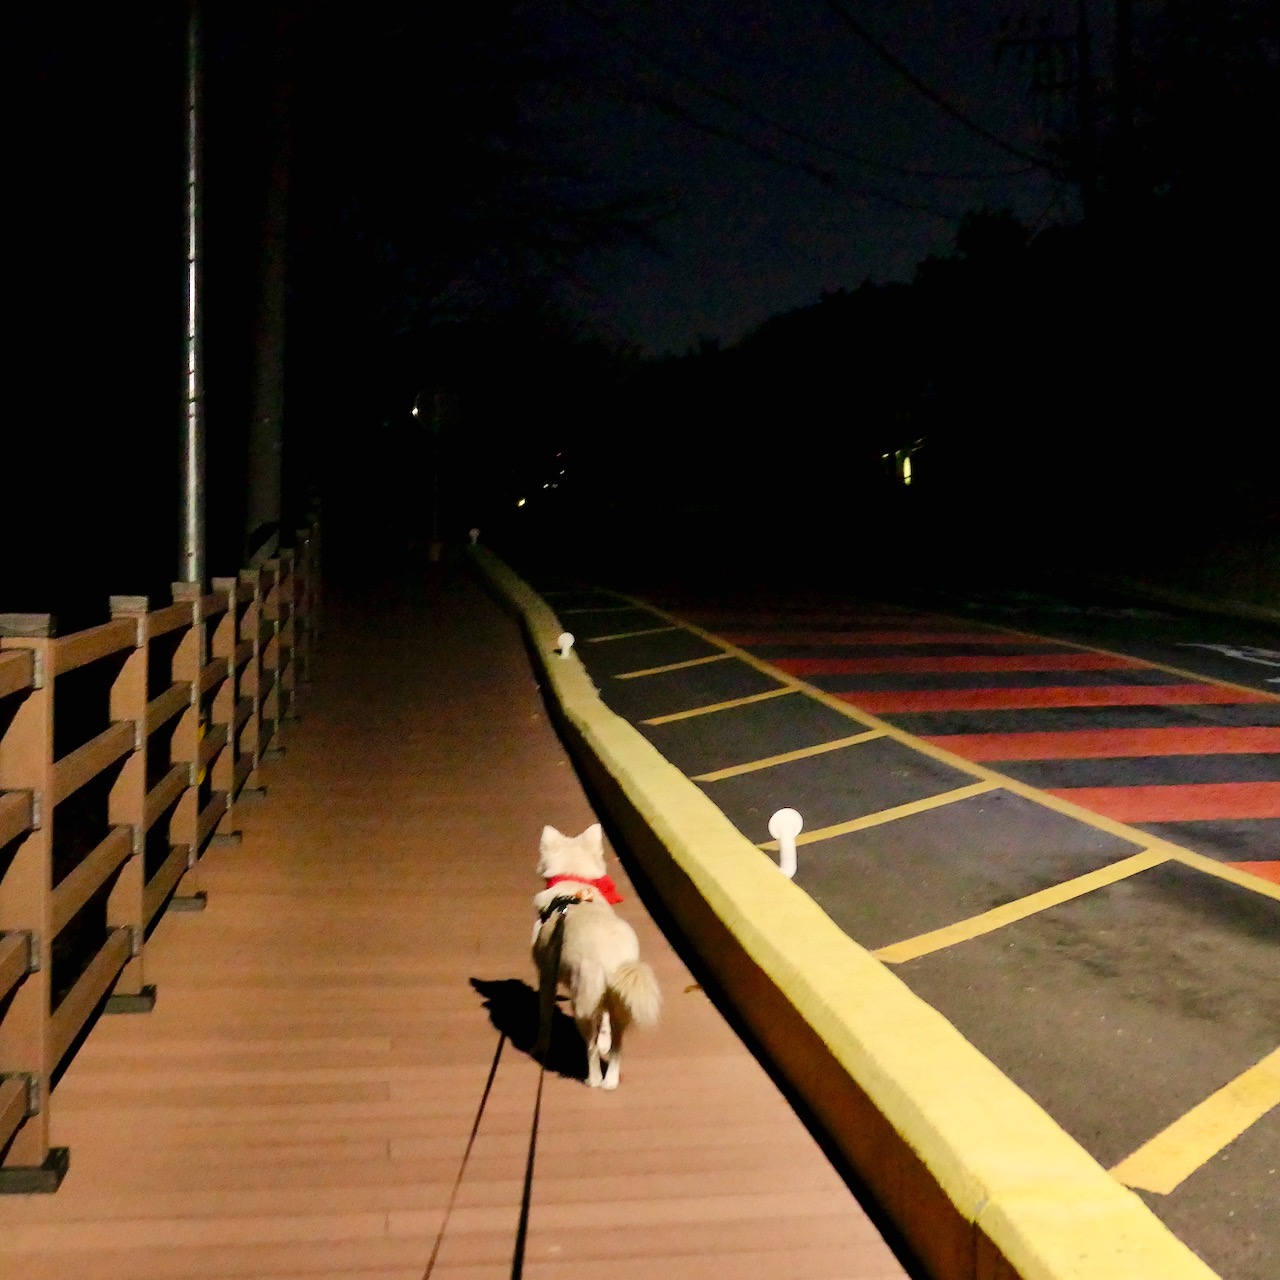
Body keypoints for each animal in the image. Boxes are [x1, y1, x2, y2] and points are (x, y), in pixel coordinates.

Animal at [529, 819, 660, 1090]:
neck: (574, 883)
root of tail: (614, 962)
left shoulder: (547, 976)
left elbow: (545, 1019)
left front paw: (540, 1047)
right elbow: (606, 1032)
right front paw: (604, 1043)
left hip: (582, 1007)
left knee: (589, 1050)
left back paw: (594, 1080)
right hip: (619, 1002)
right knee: (617, 1046)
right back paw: (610, 1080)